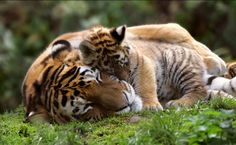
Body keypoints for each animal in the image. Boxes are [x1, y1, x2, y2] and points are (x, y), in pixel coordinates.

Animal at [78, 24, 236, 109]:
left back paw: (177, 103)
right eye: (109, 71)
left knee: (199, 90)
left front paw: (150, 106)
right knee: (209, 91)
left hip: (178, 64)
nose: (126, 80)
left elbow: (145, 85)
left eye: (125, 63)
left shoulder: (143, 63)